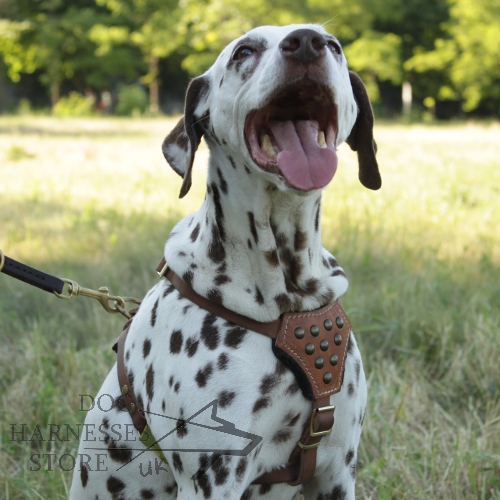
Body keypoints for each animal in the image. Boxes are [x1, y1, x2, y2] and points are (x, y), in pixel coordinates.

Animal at [70, 22, 380, 500]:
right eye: (244, 51)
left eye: (334, 46)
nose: (307, 43)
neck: (288, 300)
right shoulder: (212, 477)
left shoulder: (336, 472)